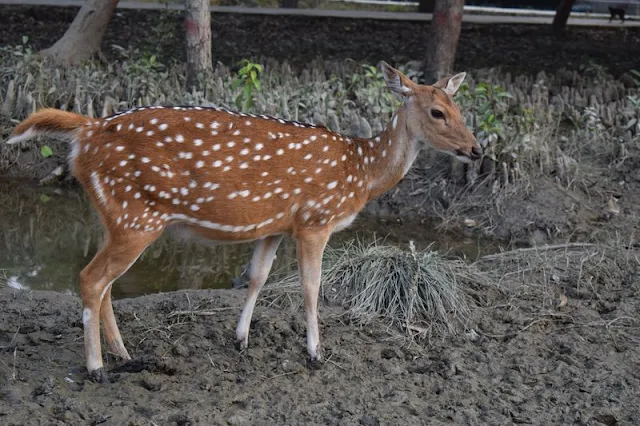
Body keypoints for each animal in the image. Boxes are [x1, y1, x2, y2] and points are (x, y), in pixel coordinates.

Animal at [7, 61, 480, 382]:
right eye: (437, 112)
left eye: (458, 106)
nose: (476, 149)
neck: (361, 172)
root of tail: (85, 132)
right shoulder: (315, 218)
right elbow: (311, 286)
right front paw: (315, 352)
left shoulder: (274, 226)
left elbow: (257, 277)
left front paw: (241, 339)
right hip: (136, 216)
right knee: (91, 278)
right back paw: (96, 367)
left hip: (115, 215)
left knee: (103, 282)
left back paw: (124, 355)